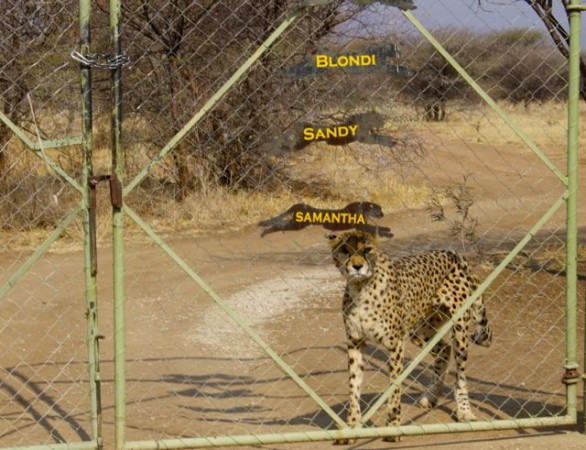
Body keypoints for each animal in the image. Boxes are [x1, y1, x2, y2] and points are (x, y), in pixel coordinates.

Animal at [326, 232, 490, 442]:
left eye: (367, 250)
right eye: (346, 250)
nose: (357, 267)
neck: (360, 288)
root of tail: (455, 254)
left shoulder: (395, 344)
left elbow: (394, 387)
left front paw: (392, 426)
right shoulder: (355, 343)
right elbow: (353, 388)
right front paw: (352, 426)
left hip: (459, 327)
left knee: (460, 372)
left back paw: (464, 411)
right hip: (420, 330)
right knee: (444, 350)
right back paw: (431, 397)